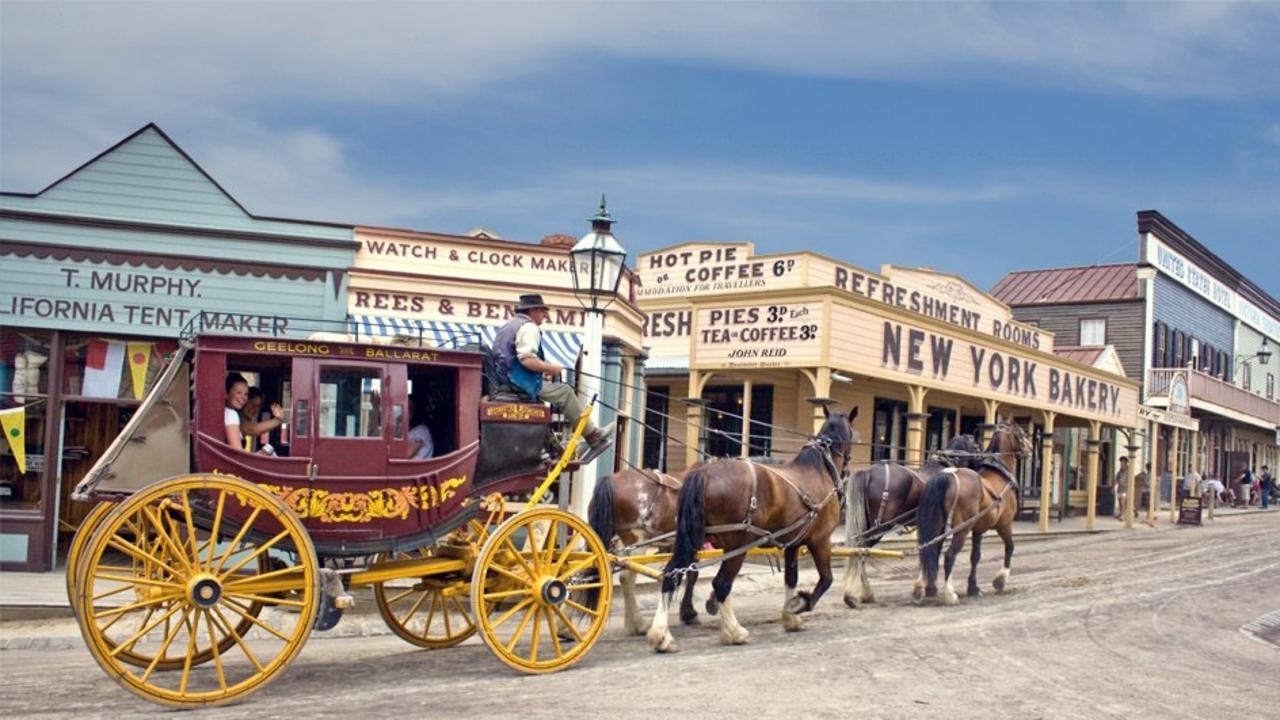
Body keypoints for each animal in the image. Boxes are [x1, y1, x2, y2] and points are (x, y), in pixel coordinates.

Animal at [588, 461, 701, 630]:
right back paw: (638, 623)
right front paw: (690, 613)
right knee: (626, 578)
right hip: (637, 541)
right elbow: (692, 574)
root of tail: (611, 480)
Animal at [645, 409, 855, 650]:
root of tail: (704, 473)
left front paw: (791, 618)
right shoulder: (820, 540)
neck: (818, 470)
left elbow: (791, 578)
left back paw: (662, 635)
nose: (848, 469)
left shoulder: (792, 544)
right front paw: (800, 604)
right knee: (721, 583)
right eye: (853, 433)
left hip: (693, 538)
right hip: (738, 545)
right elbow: (826, 579)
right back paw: (734, 632)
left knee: (673, 573)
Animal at [839, 430, 977, 604]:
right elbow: (934, 551)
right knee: (861, 549)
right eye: (977, 446)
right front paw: (930, 588)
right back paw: (858, 594)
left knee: (858, 549)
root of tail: (869, 472)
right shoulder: (939, 528)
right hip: (881, 526)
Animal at [916, 417, 1034, 602]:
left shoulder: (978, 529)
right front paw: (1000, 580)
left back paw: (926, 588)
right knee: (949, 555)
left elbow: (975, 557)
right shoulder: (1005, 524)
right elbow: (1010, 547)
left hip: (937, 524)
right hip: (961, 528)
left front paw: (973, 587)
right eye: (1021, 433)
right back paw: (949, 593)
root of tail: (948, 474)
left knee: (929, 549)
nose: (1030, 448)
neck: (1000, 473)